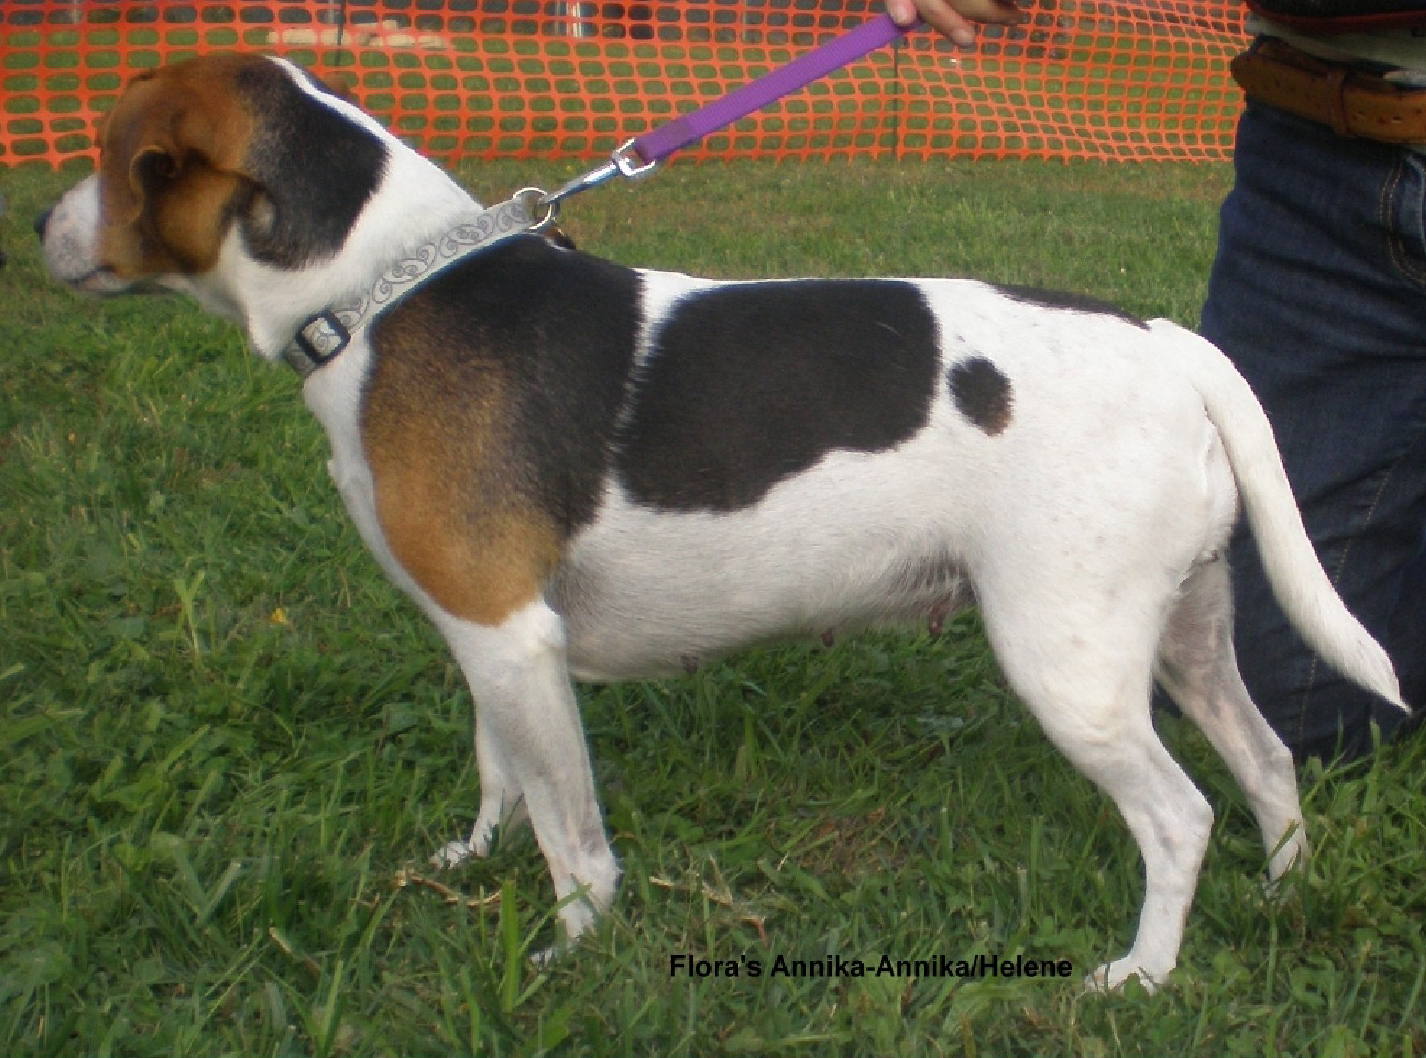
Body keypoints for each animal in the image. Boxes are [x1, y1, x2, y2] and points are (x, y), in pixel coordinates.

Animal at [39, 51, 1408, 992]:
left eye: (109, 155)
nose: (39, 226)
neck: (385, 290)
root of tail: (1172, 341)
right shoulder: (483, 634)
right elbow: (499, 775)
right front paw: (470, 862)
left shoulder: (512, 638)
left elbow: (572, 836)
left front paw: (569, 956)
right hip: (1183, 631)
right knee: (1267, 761)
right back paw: (1281, 897)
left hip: (1065, 659)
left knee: (1179, 816)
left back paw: (1144, 973)